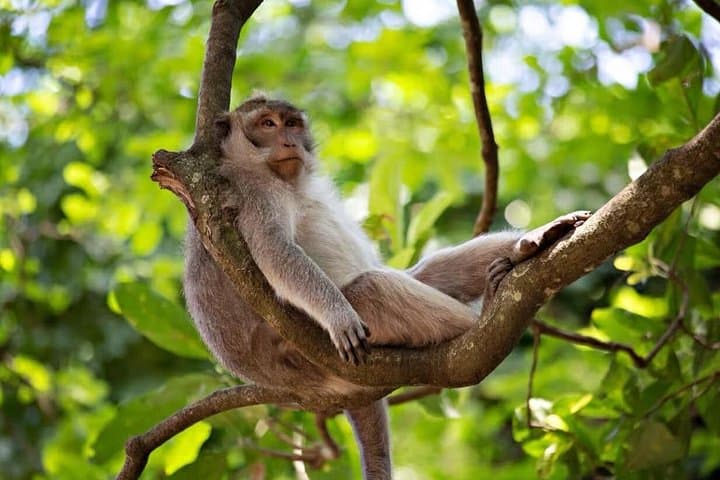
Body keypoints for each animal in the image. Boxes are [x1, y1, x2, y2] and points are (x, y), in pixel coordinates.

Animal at [183, 94, 590, 479]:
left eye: (292, 123)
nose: (289, 142)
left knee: (422, 274)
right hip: (313, 352)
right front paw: (338, 315)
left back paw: (531, 243)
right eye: (267, 124)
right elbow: (274, 249)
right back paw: (483, 317)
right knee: (371, 287)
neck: (276, 176)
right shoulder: (252, 194)